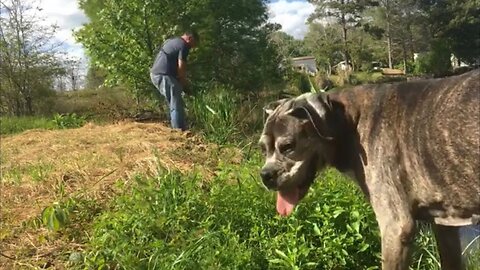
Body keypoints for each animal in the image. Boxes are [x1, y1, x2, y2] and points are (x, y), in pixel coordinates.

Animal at [258, 69, 480, 270]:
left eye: (288, 146)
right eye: (262, 148)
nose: (265, 175)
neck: (348, 122)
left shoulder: (395, 228)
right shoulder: (445, 226)